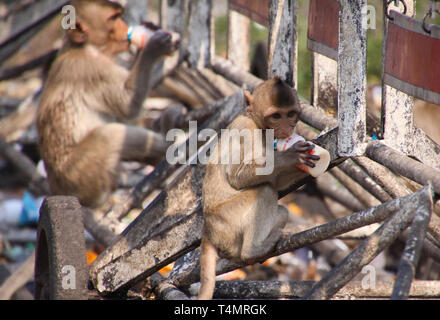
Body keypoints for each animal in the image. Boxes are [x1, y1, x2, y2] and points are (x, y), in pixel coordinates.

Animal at [36, 0, 177, 208]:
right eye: (113, 18)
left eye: (119, 16)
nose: (125, 27)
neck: (85, 48)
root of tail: (56, 189)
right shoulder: (93, 70)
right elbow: (128, 106)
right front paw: (153, 47)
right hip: (79, 176)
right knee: (109, 134)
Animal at [199, 77, 320, 300]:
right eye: (276, 116)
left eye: (291, 114)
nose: (287, 128)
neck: (260, 126)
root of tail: (208, 230)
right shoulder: (246, 129)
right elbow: (238, 176)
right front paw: (290, 156)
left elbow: (277, 182)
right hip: (227, 221)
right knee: (264, 190)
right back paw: (253, 251)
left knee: (281, 210)